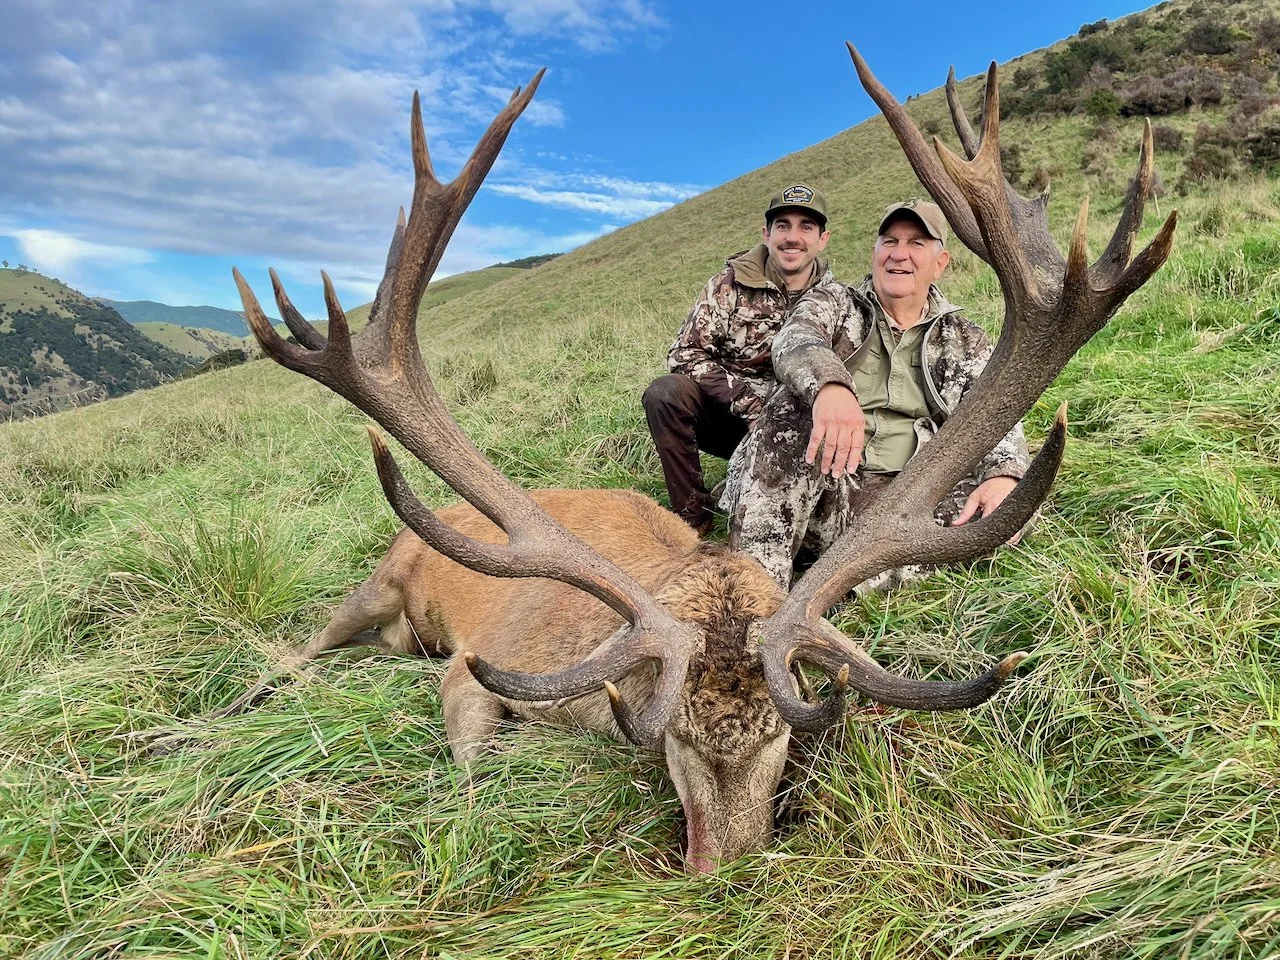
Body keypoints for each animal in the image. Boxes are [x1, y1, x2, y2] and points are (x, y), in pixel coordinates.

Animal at [216, 46, 1175, 874]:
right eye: (671, 737)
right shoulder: (483, 665)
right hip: (377, 580)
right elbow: (473, 763)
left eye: (783, 738)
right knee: (299, 647)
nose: (723, 869)